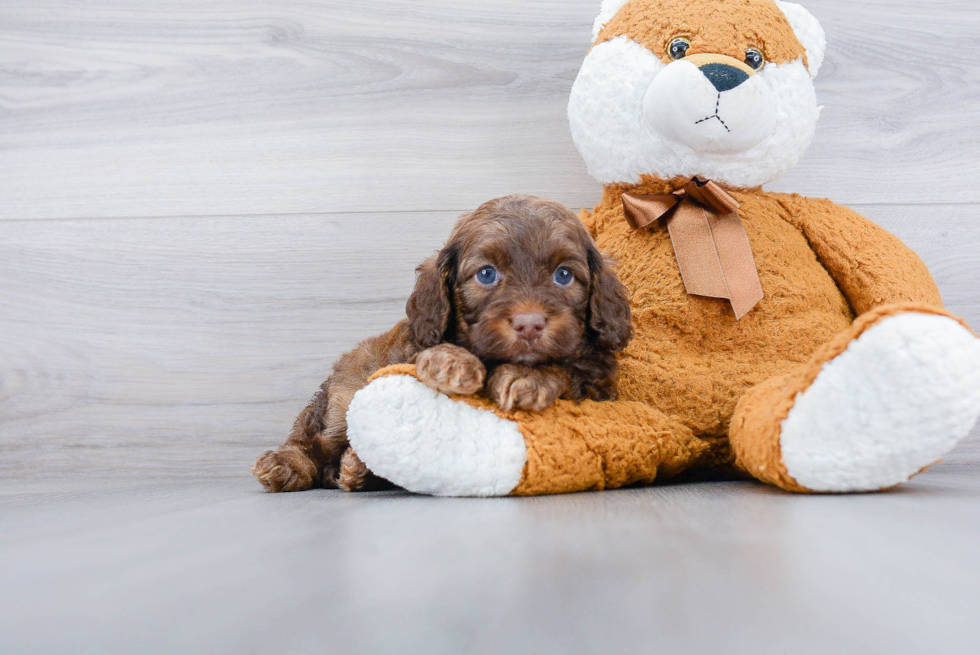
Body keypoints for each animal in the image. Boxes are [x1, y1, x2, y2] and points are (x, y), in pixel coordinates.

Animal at [253, 193, 632, 492]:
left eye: (564, 275)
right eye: (487, 274)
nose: (529, 324)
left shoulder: (599, 380)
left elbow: (568, 370)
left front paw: (529, 377)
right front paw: (451, 362)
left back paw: (359, 471)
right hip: (343, 398)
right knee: (314, 439)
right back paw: (290, 464)